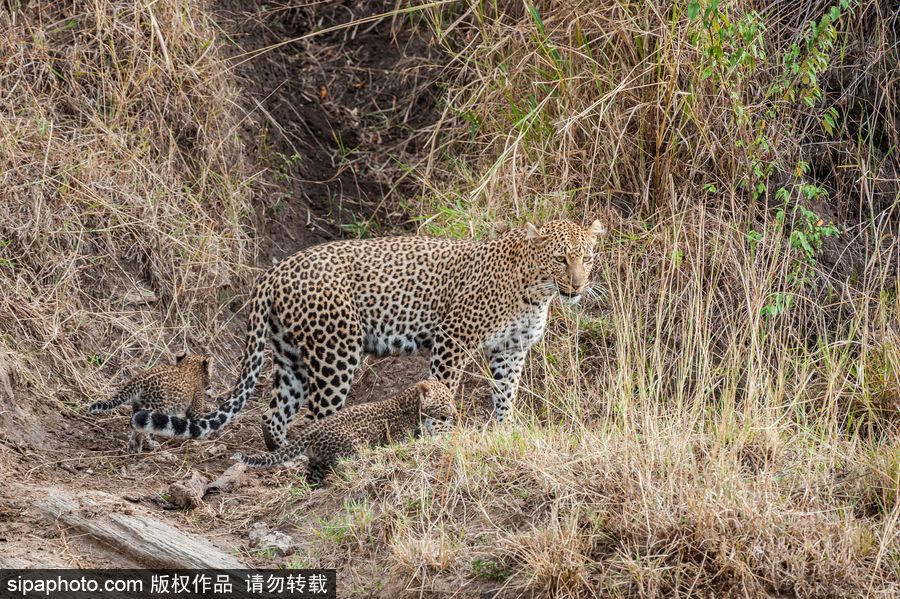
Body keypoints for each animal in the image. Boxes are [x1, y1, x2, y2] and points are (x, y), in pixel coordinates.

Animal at [134, 220, 608, 450]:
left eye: (586, 257)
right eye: (561, 258)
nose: (578, 285)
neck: (537, 291)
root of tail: (275, 271)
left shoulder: (511, 350)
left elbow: (506, 393)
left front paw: (503, 430)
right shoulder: (453, 339)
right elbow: (442, 388)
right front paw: (439, 437)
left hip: (291, 356)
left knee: (275, 413)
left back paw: (281, 454)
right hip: (336, 351)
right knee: (318, 413)